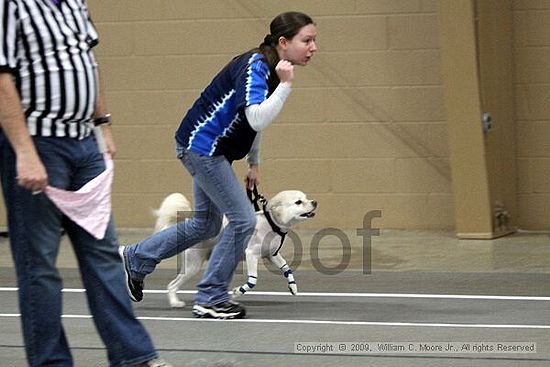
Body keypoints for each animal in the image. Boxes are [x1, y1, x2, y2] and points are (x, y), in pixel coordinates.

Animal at [154, 190, 320, 308]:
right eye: (298, 202)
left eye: (306, 198)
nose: (315, 202)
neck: (271, 223)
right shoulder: (251, 255)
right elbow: (252, 280)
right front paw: (237, 292)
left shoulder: (272, 255)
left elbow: (287, 269)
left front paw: (293, 286)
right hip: (192, 266)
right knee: (172, 285)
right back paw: (175, 303)